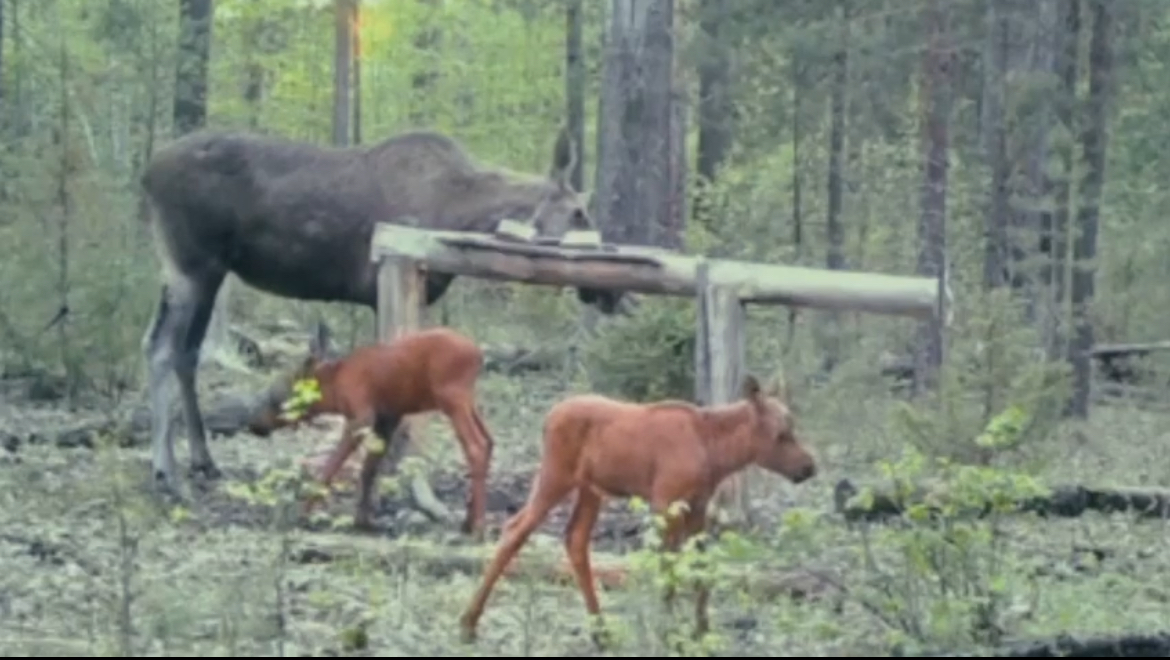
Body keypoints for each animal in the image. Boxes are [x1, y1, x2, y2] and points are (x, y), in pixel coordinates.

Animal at [139, 126, 613, 491]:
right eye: (578, 212)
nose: (606, 292)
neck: (460, 211)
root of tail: (146, 173)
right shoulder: (391, 278)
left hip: (204, 272)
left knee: (184, 352)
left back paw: (202, 460)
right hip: (190, 266)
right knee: (161, 348)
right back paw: (166, 470)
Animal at [249, 322, 496, 538]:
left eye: (282, 390)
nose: (255, 424)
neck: (334, 390)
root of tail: (478, 356)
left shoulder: (361, 417)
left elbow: (331, 467)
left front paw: (303, 513)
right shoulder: (387, 418)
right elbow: (369, 469)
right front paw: (363, 520)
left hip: (452, 398)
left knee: (476, 445)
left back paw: (478, 526)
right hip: (466, 400)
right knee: (489, 440)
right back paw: (469, 520)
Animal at [456, 376, 814, 645]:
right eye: (782, 434)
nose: (809, 467)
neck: (716, 451)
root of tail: (547, 419)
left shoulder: (698, 507)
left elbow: (699, 567)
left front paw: (700, 630)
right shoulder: (664, 503)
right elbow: (667, 570)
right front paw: (667, 632)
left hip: (590, 491)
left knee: (575, 539)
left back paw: (600, 630)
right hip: (555, 478)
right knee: (515, 527)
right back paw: (469, 622)